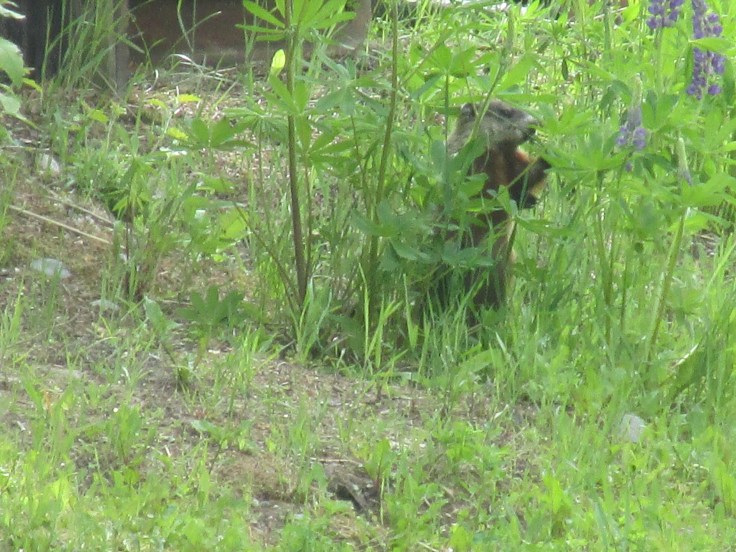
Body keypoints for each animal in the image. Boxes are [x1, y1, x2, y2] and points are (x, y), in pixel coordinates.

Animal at [442, 100, 550, 310]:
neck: (500, 150)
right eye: (506, 112)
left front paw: (547, 155)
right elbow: (487, 192)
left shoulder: (511, 157)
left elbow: (524, 173)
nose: (538, 123)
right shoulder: (475, 162)